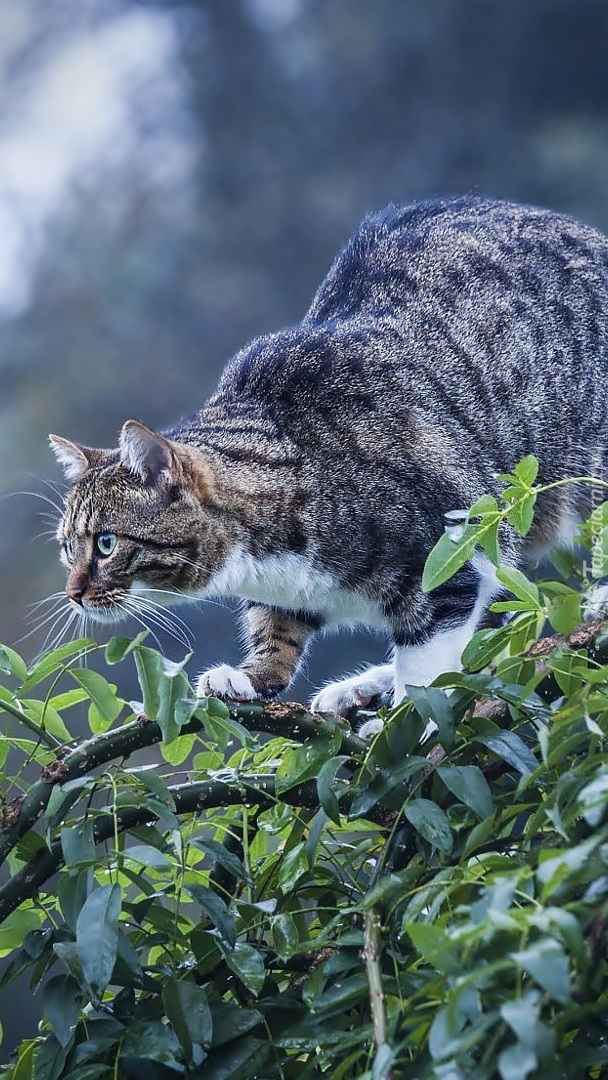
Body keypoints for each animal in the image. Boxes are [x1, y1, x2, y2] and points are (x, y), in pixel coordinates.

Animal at [49, 196, 608, 734]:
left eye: (105, 543)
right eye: (67, 548)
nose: (73, 593)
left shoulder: (453, 549)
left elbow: (429, 659)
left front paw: (411, 721)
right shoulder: (288, 594)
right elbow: (277, 630)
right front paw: (253, 676)